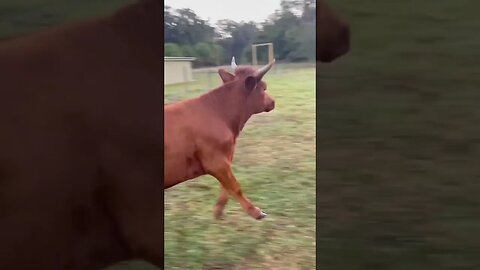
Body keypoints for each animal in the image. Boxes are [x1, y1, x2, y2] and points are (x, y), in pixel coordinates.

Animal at [164, 58, 274, 220]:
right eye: (263, 88)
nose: (273, 102)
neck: (219, 113)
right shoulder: (216, 161)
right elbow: (235, 186)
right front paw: (256, 212)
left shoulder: (225, 159)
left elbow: (226, 186)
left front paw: (218, 211)